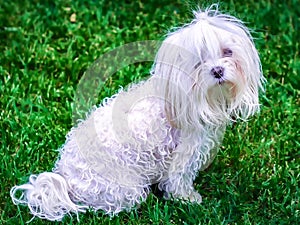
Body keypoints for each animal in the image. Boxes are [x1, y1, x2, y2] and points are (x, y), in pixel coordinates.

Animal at [9, 5, 262, 221]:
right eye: (198, 62)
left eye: (227, 52)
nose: (218, 70)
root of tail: (65, 180)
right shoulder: (185, 154)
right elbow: (179, 180)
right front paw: (188, 199)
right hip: (128, 190)